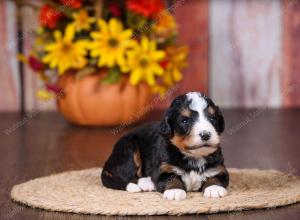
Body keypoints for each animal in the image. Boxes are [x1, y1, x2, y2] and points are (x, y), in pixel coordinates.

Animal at [101, 92, 230, 200]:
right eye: (185, 121)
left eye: (213, 118)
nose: (206, 135)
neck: (194, 157)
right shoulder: (163, 168)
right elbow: (170, 179)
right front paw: (175, 191)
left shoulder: (219, 168)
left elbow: (216, 177)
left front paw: (214, 188)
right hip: (129, 147)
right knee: (127, 175)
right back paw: (147, 183)